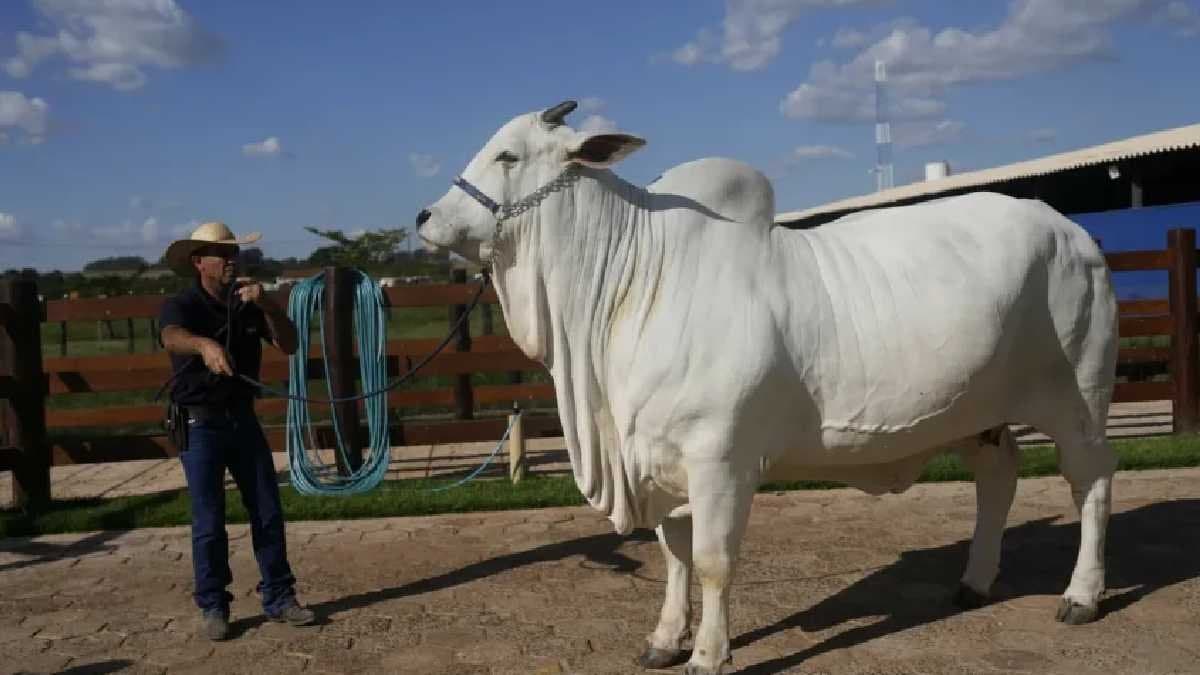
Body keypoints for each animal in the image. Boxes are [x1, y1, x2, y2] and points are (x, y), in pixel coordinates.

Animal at [416, 100, 1118, 675]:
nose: (425, 216)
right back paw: (975, 581)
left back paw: (1081, 595)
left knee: (1090, 482)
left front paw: (707, 655)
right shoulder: (659, 458)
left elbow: (712, 559)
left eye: (508, 154)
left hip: (1078, 399)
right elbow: (674, 555)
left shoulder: (719, 459)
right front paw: (665, 640)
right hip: (980, 412)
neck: (631, 285)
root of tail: (1071, 230)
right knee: (999, 475)